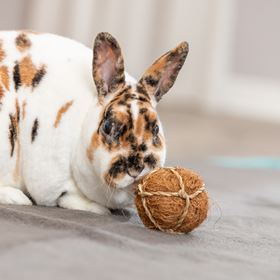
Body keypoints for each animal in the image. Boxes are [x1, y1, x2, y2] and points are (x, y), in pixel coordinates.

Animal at [0, 31, 189, 214]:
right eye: (108, 127)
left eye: (156, 129)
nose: (136, 169)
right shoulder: (50, 180)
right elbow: (68, 197)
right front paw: (99, 209)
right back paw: (17, 198)